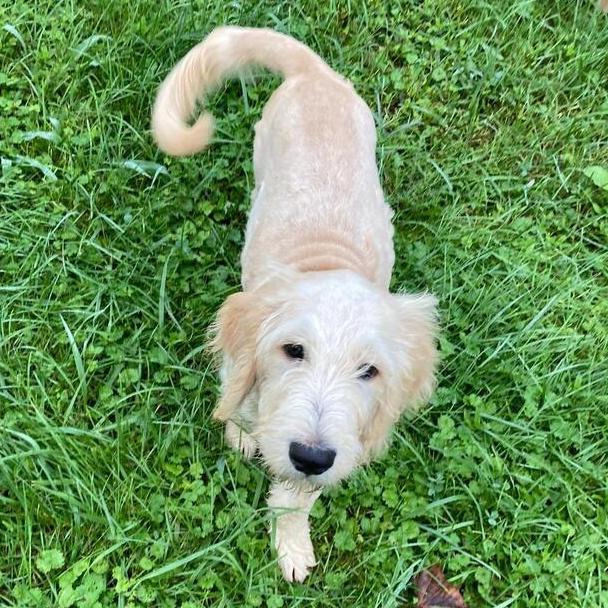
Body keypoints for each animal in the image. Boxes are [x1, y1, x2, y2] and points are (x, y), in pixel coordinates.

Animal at [151, 26, 436, 580]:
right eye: (293, 350)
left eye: (369, 371)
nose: (310, 455)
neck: (327, 261)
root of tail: (314, 73)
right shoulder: (239, 357)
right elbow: (239, 403)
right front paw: (242, 433)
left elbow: (295, 498)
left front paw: (292, 544)